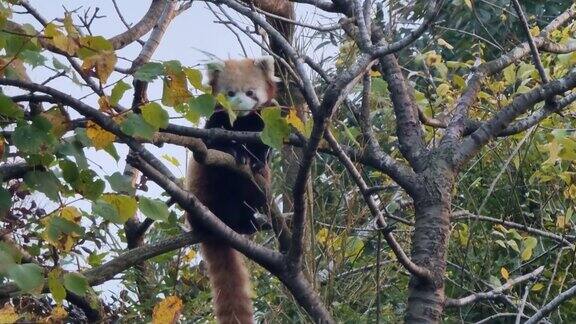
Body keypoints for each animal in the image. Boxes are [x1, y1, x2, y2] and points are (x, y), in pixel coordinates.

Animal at [187, 56, 280, 324]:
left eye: (250, 92)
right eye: (229, 93)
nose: (238, 105)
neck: (241, 122)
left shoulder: (262, 120)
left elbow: (263, 146)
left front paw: (258, 160)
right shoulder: (215, 122)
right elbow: (214, 143)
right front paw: (236, 151)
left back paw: (251, 222)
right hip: (208, 195)